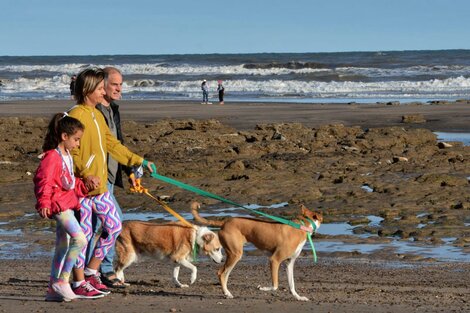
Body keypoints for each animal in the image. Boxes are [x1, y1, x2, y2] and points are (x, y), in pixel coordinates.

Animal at [189, 201, 322, 302]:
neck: (301, 225)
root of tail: (225, 222)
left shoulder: (289, 263)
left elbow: (292, 285)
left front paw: (298, 297)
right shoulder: (274, 260)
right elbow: (275, 285)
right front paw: (263, 288)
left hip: (233, 255)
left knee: (223, 274)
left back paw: (226, 292)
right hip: (235, 254)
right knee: (221, 273)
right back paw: (227, 293)